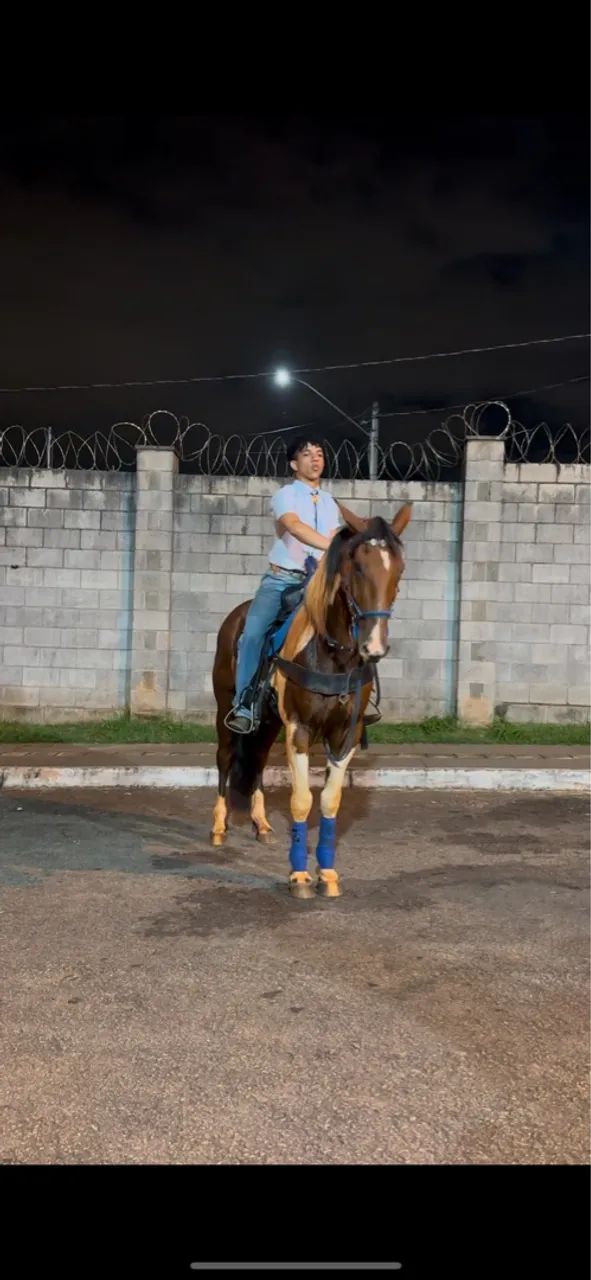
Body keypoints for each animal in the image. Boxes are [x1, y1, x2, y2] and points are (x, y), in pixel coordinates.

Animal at [211, 501, 412, 898]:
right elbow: (302, 800)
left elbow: (330, 801)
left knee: (256, 762)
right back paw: (219, 827)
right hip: (225, 707)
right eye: (358, 566)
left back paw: (261, 824)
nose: (374, 646)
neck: (332, 653)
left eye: (399, 568)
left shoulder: (345, 735)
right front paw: (299, 876)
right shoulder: (299, 729)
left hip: (269, 722)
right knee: (225, 759)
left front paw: (328, 874)